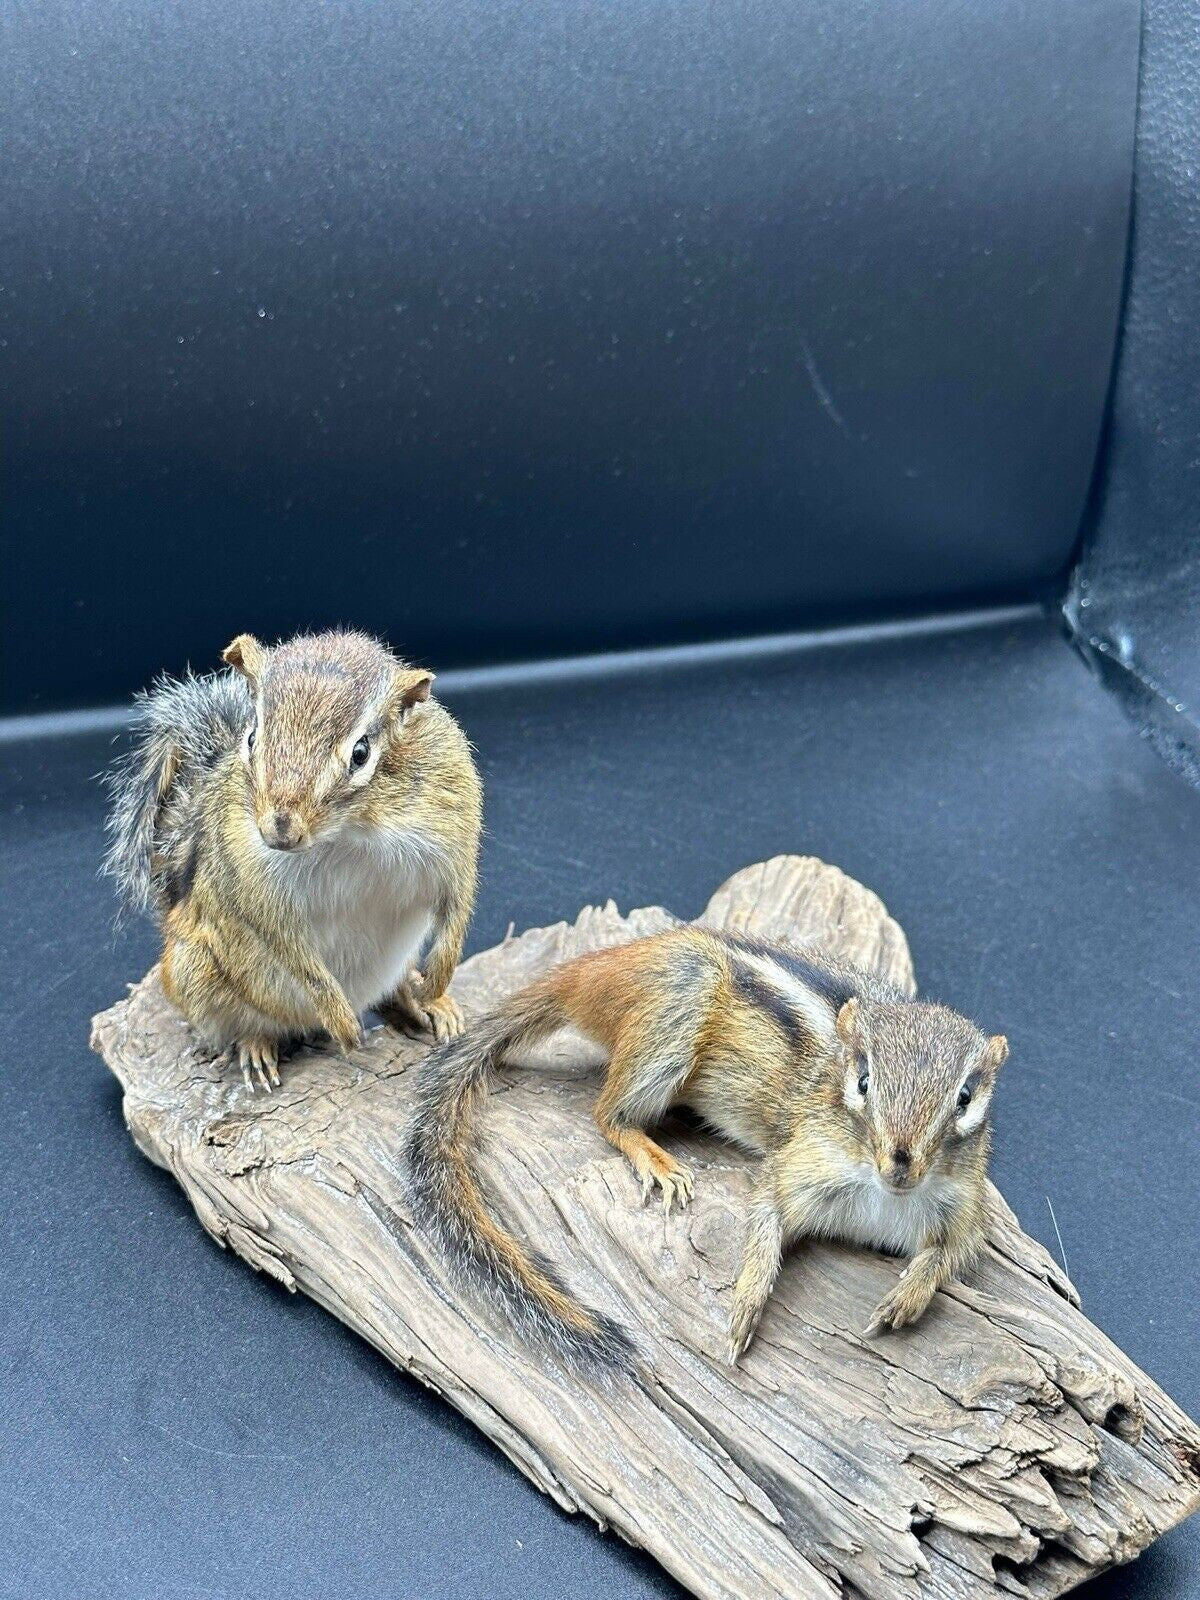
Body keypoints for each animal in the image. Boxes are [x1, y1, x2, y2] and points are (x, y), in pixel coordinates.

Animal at [103, 628, 482, 1091]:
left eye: (361, 752)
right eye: (251, 738)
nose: (280, 829)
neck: (352, 831)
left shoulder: (455, 837)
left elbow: (459, 905)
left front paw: (437, 985)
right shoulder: (254, 887)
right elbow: (293, 952)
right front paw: (340, 1020)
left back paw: (422, 1003)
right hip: (201, 976)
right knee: (247, 1023)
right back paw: (257, 1045)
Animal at [405, 924, 1006, 1372]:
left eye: (965, 1097)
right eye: (862, 1081)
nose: (899, 1166)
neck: (884, 1196)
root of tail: (591, 967)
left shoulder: (963, 1206)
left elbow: (955, 1253)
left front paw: (907, 1296)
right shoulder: (799, 1164)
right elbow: (765, 1213)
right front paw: (748, 1300)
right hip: (679, 998)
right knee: (606, 1114)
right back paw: (653, 1157)